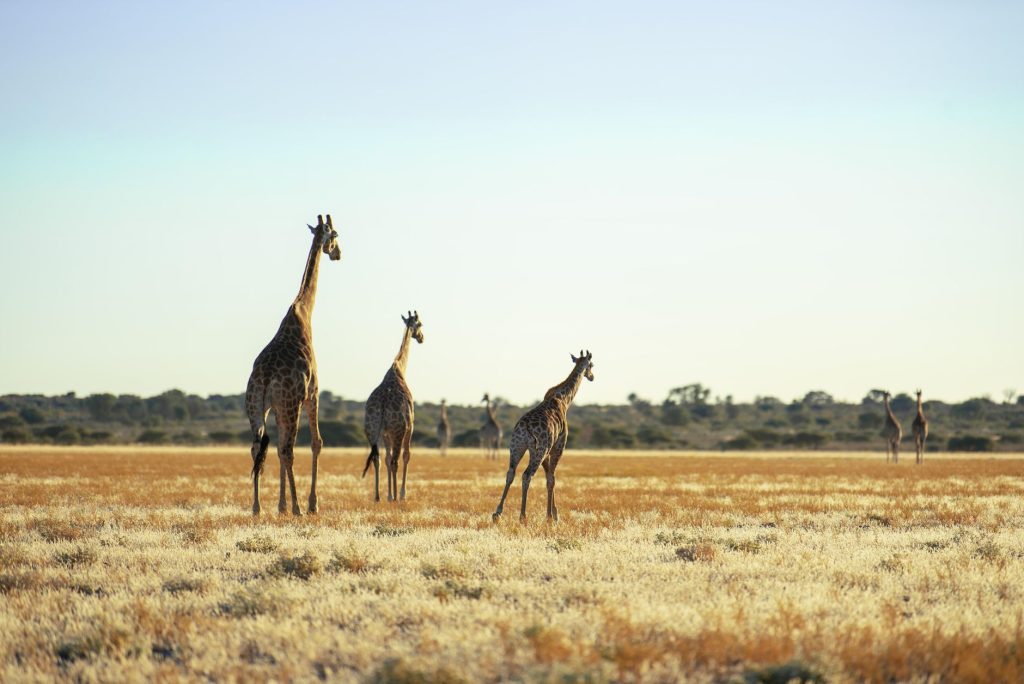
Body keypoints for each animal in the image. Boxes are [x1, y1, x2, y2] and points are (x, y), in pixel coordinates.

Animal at [245, 214, 340, 516]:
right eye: (336, 235)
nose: (338, 253)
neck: (303, 312)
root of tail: (264, 378)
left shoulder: (275, 407)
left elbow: (274, 449)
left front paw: (281, 505)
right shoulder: (313, 394)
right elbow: (317, 443)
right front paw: (310, 504)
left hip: (256, 405)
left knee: (258, 447)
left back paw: (257, 507)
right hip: (290, 404)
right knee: (288, 449)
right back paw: (299, 507)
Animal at [361, 311, 424, 502]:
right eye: (420, 324)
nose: (422, 338)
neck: (399, 369)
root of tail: (382, 405)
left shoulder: (385, 432)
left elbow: (387, 459)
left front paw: (389, 494)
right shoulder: (410, 426)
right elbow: (406, 456)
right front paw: (400, 494)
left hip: (372, 430)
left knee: (378, 459)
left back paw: (377, 497)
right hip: (398, 430)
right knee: (396, 459)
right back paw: (396, 498)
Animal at [492, 350, 594, 524]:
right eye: (592, 365)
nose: (592, 376)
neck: (564, 399)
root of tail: (525, 428)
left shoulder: (547, 451)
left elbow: (548, 478)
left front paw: (553, 514)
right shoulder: (557, 447)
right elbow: (552, 479)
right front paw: (551, 517)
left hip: (517, 447)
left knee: (510, 473)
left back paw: (497, 513)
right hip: (538, 450)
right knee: (527, 475)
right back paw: (523, 516)